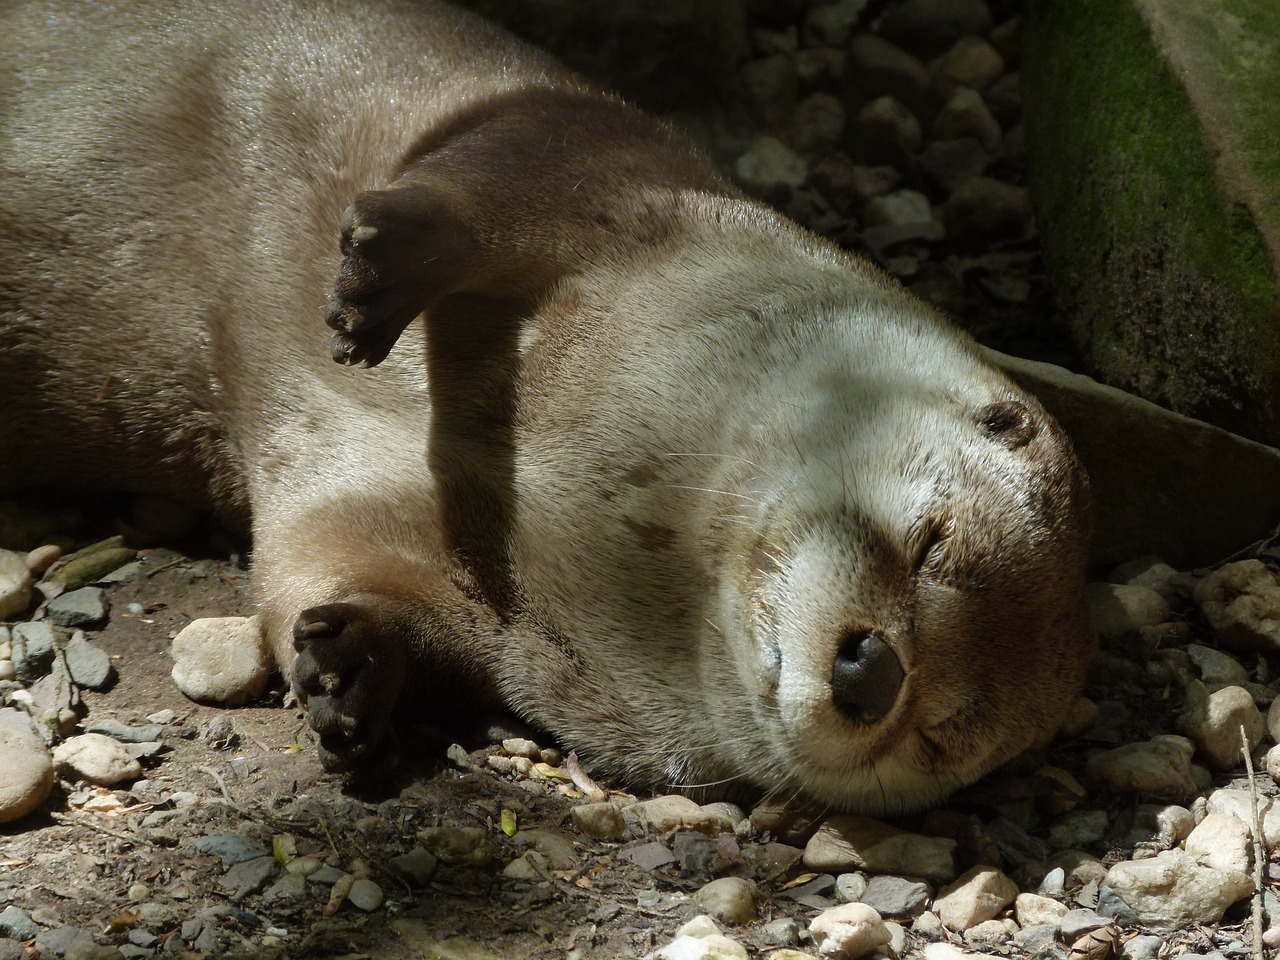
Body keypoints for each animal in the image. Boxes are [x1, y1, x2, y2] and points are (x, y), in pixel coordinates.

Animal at [0, 0, 1090, 814]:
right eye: (928, 545)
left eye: (940, 732)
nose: (869, 671)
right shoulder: (594, 163)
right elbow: (487, 183)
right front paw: (375, 276)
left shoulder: (379, 528)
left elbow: (331, 575)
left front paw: (350, 670)